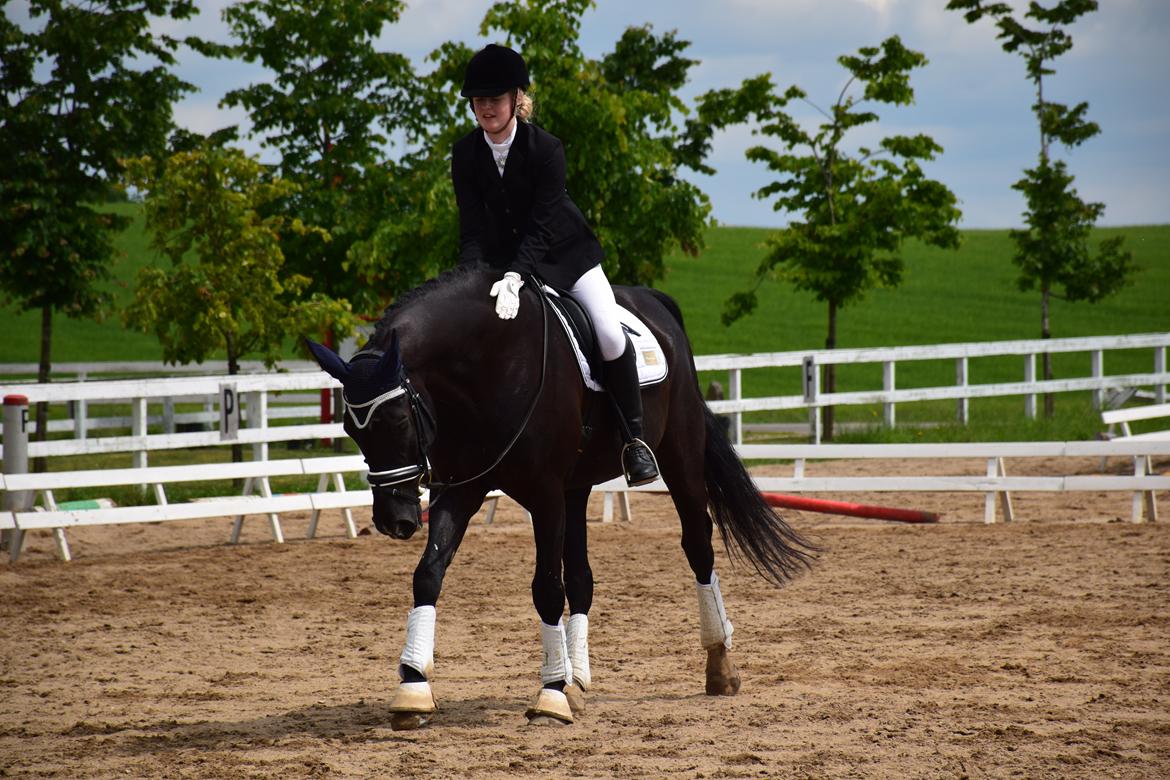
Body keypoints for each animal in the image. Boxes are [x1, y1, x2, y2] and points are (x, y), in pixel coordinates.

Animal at [311, 264, 819, 734]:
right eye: (350, 428)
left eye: (398, 420)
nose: (394, 519)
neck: (486, 367)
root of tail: (653, 302)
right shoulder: (462, 489)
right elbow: (428, 574)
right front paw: (413, 687)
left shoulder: (545, 494)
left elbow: (546, 589)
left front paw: (551, 695)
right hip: (578, 489)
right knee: (582, 577)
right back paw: (578, 682)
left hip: (678, 456)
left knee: (697, 545)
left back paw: (719, 666)